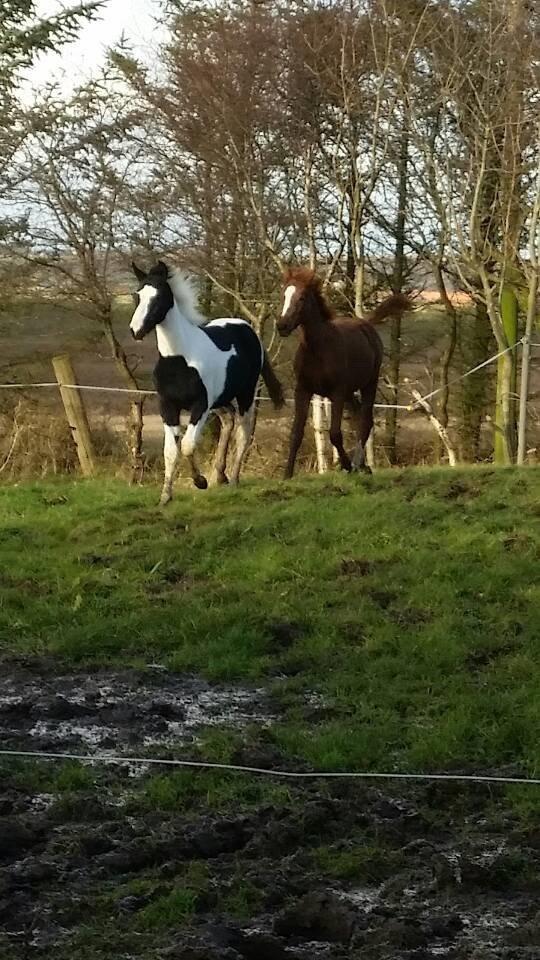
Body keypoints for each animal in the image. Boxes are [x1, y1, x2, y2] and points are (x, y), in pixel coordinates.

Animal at [131, 258, 284, 506]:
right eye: (137, 295)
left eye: (159, 297)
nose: (135, 331)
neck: (178, 359)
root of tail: (248, 329)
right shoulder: (168, 406)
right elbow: (170, 451)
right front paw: (165, 496)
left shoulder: (200, 406)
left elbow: (187, 445)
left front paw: (200, 481)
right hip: (220, 400)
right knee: (229, 420)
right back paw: (220, 475)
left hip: (245, 394)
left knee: (243, 432)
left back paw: (233, 479)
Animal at [278, 266, 410, 480]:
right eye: (284, 295)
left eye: (302, 297)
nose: (282, 326)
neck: (318, 349)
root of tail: (366, 324)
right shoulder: (303, 390)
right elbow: (296, 433)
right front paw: (287, 475)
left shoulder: (337, 393)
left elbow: (334, 434)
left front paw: (347, 465)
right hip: (350, 393)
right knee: (359, 417)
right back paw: (363, 465)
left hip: (369, 384)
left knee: (365, 420)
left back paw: (358, 465)